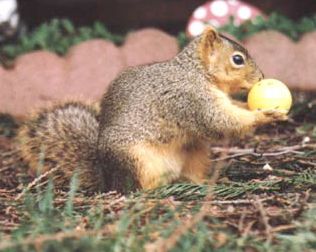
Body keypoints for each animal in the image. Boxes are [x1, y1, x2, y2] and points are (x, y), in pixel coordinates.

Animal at [18, 26, 288, 193]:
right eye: (237, 59)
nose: (262, 77)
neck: (197, 72)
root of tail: (108, 179)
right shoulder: (190, 99)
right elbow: (219, 121)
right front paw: (265, 115)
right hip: (136, 159)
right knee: (138, 188)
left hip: (196, 153)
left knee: (190, 174)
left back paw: (206, 182)